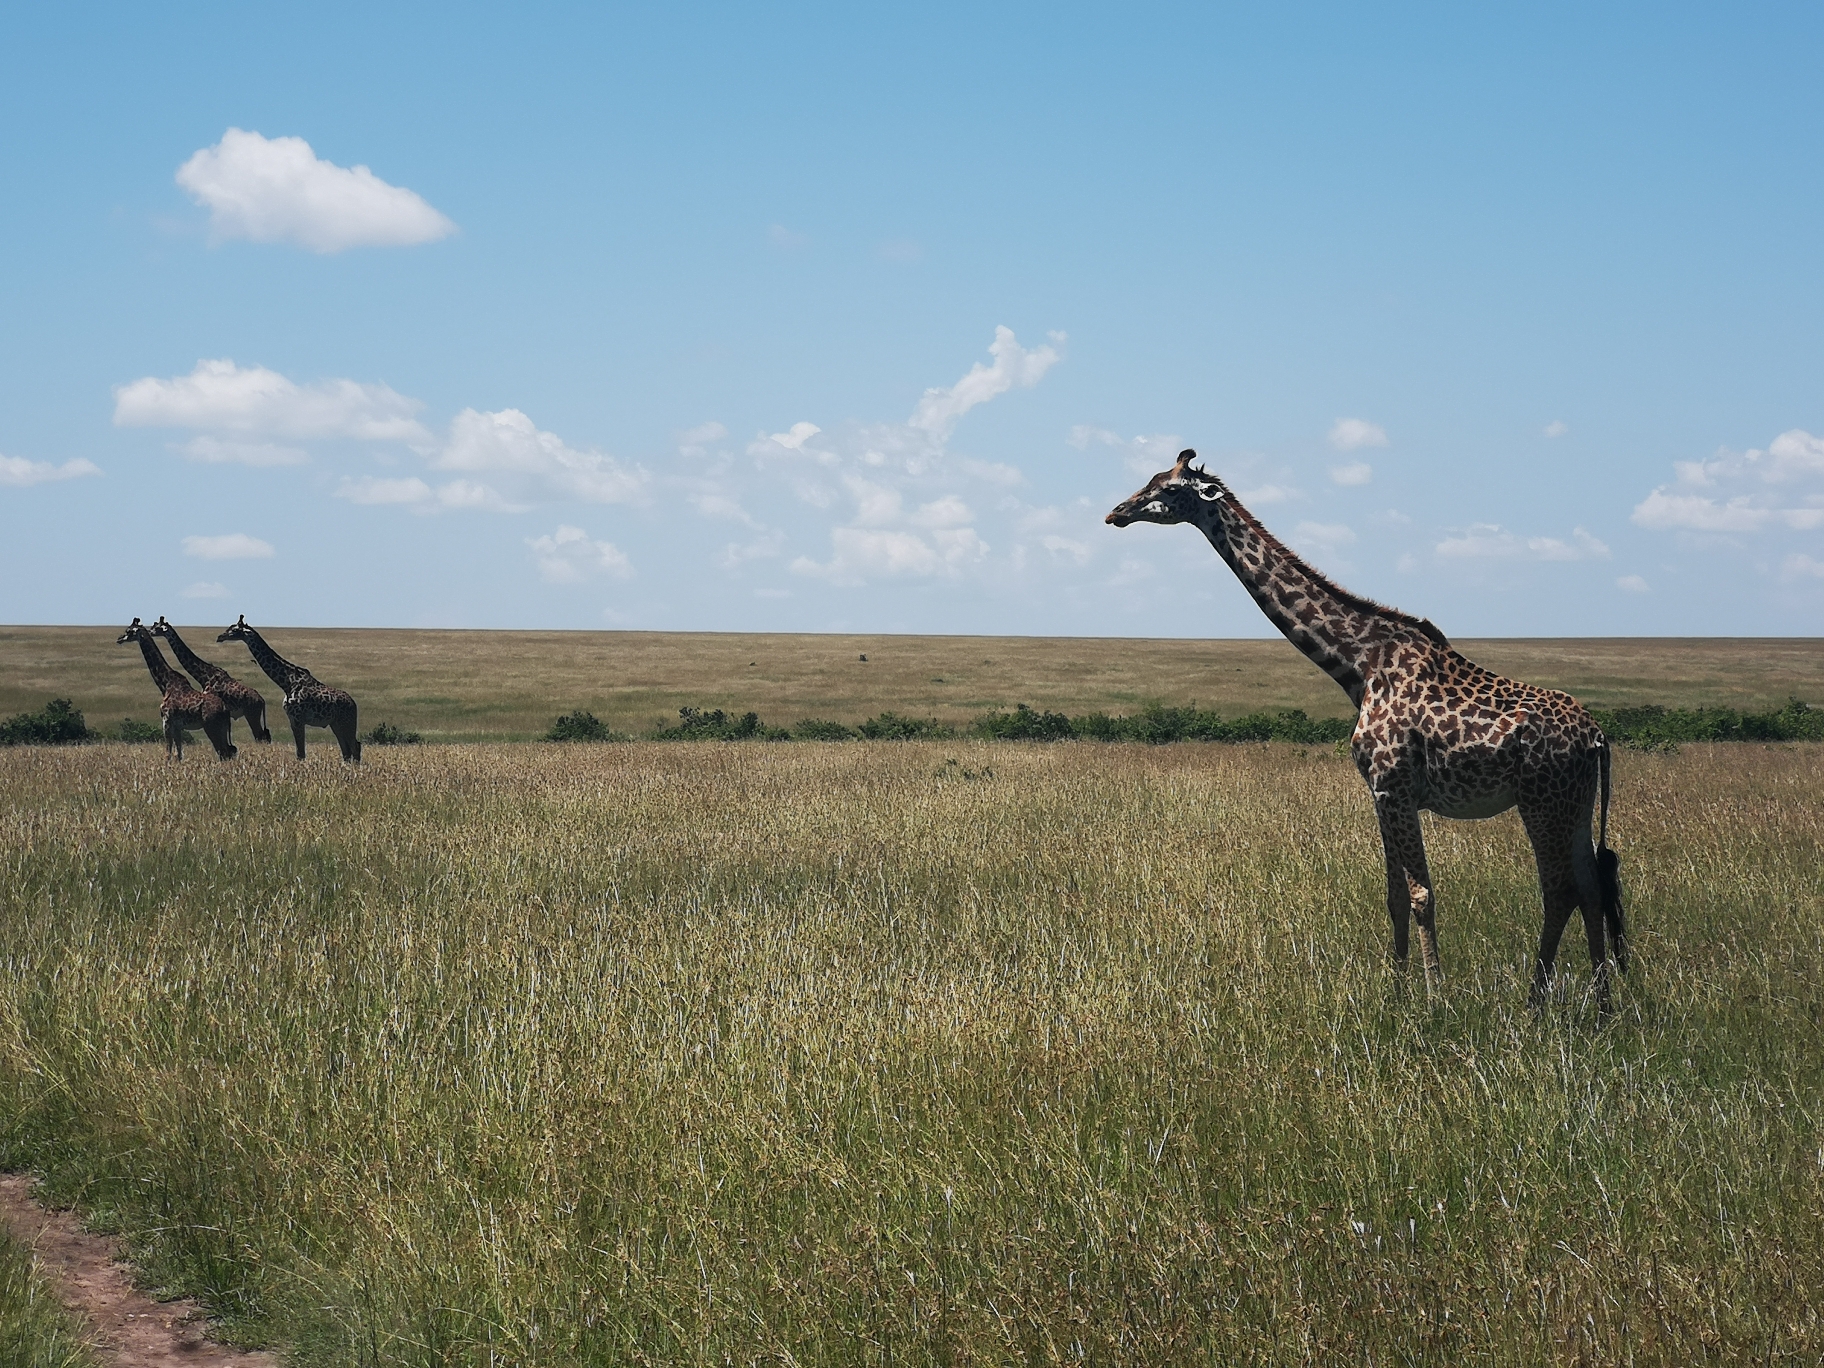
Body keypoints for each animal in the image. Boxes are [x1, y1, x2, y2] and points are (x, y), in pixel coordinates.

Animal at [114, 620, 238, 766]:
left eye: (129, 631)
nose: (119, 639)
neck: (165, 683)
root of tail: (225, 708)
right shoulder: (178, 726)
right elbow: (178, 753)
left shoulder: (167, 721)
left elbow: (167, 753)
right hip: (222, 727)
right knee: (228, 751)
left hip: (211, 726)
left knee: (223, 751)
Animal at [149, 620, 271, 751]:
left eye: (157, 628)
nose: (150, 632)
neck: (204, 675)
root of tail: (262, 700)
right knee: (265, 736)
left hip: (251, 714)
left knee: (259, 736)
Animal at [215, 620, 361, 766]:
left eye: (234, 630)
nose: (220, 637)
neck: (286, 682)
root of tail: (353, 704)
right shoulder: (292, 719)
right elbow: (300, 753)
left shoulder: (297, 719)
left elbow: (301, 753)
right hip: (336, 723)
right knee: (346, 750)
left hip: (347, 721)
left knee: (355, 746)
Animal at [1101, 456, 1634, 1014]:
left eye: (1168, 489)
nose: (1116, 512)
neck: (1358, 664)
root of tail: (1598, 737)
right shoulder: (1379, 792)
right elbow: (1394, 895)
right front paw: (1396, 993)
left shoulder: (1393, 785)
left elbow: (1422, 894)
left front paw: (1435, 1000)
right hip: (1574, 804)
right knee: (1591, 886)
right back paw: (1602, 1007)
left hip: (1541, 802)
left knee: (1559, 890)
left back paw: (1535, 1003)